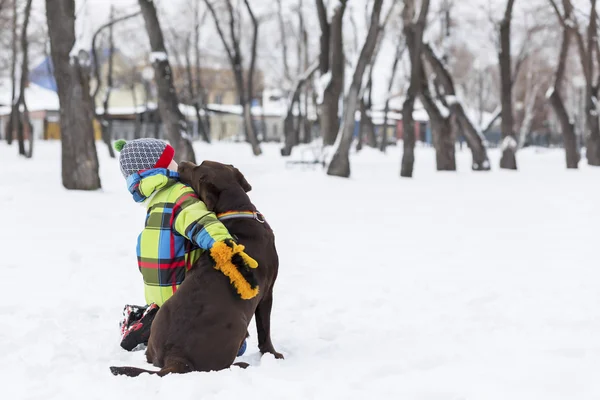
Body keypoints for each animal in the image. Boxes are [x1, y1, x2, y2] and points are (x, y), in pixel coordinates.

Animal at [110, 160, 284, 378]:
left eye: (200, 166)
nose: (182, 163)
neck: (237, 210)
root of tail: (175, 356)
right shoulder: (267, 292)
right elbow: (264, 330)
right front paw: (273, 354)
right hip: (237, 325)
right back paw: (241, 365)